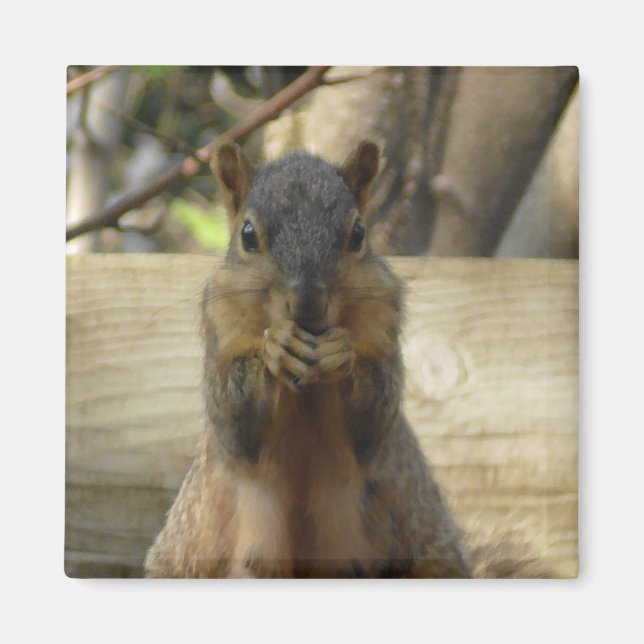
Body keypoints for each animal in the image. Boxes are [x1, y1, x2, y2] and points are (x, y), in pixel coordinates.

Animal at [143, 141, 472, 578]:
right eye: (248, 235)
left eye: (358, 233)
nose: (308, 302)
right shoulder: (220, 319)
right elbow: (232, 417)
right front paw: (276, 347)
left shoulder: (383, 314)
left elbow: (375, 415)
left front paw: (340, 354)